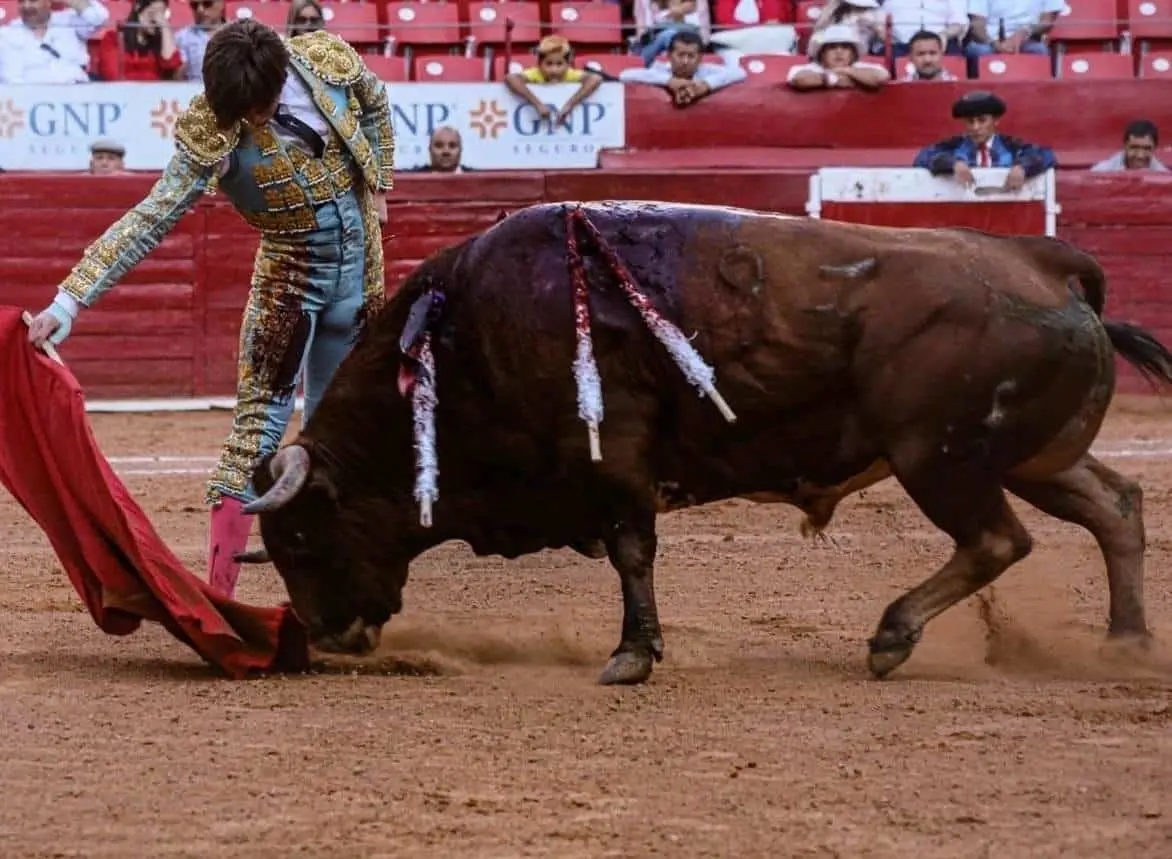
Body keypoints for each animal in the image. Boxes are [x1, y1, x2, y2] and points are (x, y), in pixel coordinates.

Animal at [240, 199, 1172, 684]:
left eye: (302, 534)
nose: (330, 637)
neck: (462, 336)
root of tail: (1048, 264)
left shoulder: (614, 456)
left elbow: (631, 553)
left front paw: (630, 656)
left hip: (939, 458)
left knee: (997, 539)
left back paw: (892, 636)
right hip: (1030, 456)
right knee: (1115, 506)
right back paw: (1125, 642)